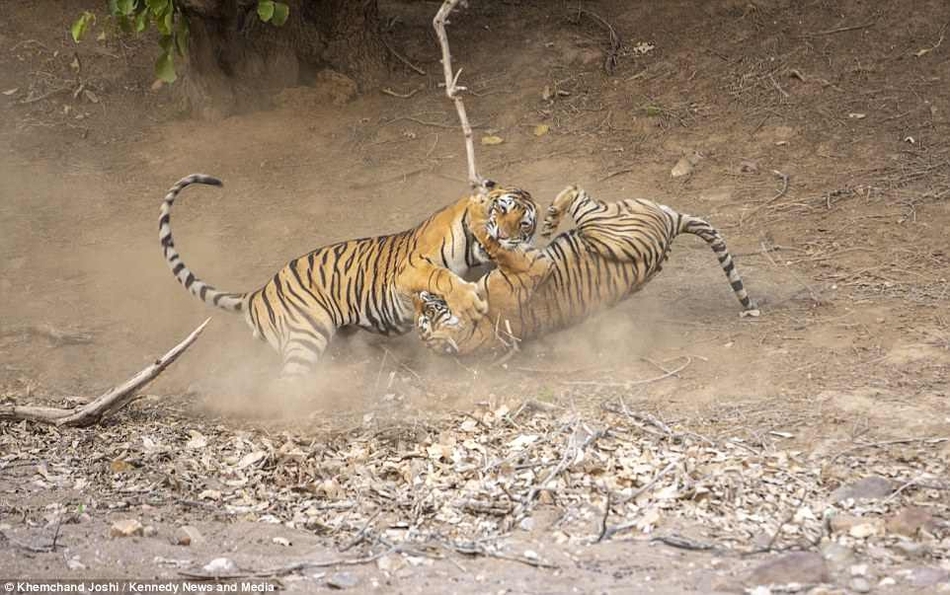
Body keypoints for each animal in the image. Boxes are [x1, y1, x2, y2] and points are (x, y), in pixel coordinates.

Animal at [160, 175, 540, 374]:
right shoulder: (409, 270)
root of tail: (257, 293)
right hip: (305, 337)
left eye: (524, 224)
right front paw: (470, 302)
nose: (507, 238)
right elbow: (442, 277)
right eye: (500, 209)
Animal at [416, 184, 760, 356]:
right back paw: (552, 216)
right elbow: (494, 240)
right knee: (577, 193)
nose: (419, 298)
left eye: (427, 313)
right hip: (608, 225)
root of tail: (673, 224)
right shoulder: (533, 265)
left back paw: (546, 216)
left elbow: (493, 242)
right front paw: (482, 218)